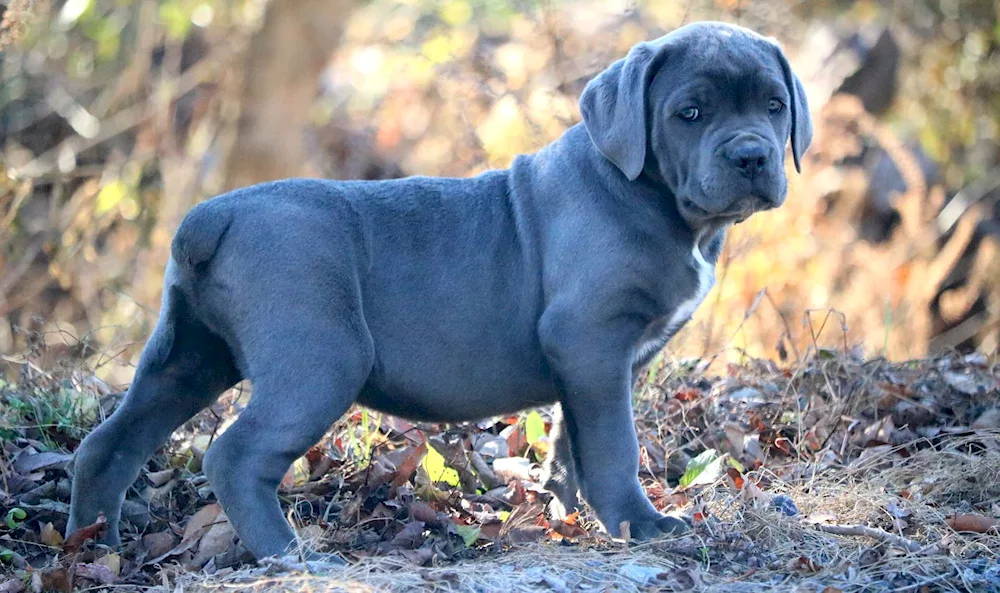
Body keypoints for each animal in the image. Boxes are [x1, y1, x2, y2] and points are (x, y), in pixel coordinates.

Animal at [66, 20, 812, 560]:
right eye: (690, 112)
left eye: (775, 106)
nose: (752, 155)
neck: (657, 200)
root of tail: (211, 216)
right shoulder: (591, 340)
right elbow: (613, 445)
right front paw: (641, 525)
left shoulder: (593, 364)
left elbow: (572, 445)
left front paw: (567, 514)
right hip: (319, 358)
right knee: (234, 454)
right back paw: (290, 555)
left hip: (187, 354)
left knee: (109, 443)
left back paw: (95, 547)